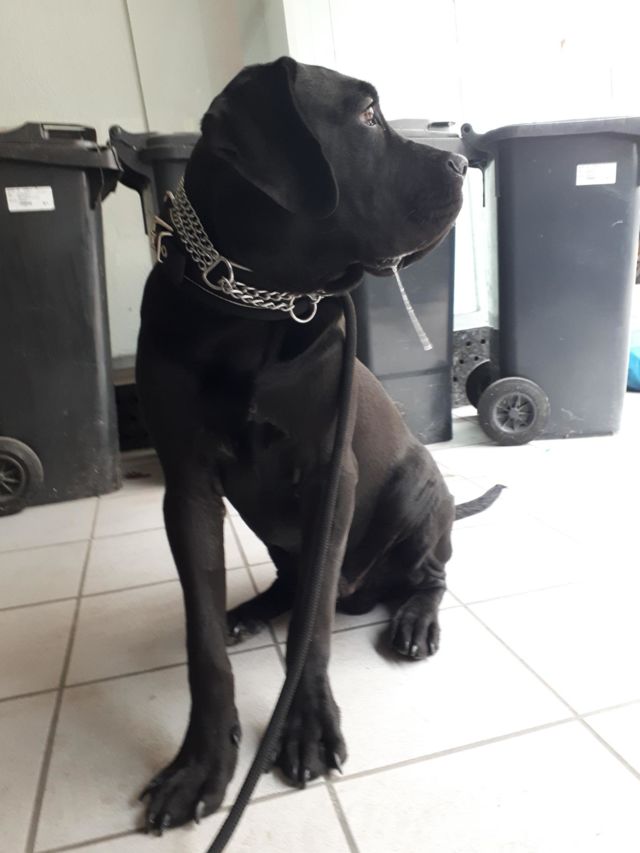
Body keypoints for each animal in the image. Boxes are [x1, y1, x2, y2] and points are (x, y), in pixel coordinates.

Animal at [136, 56, 499, 833]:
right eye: (365, 115)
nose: (460, 160)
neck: (249, 307)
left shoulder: (333, 476)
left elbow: (313, 631)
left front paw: (301, 727)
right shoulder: (188, 486)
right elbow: (201, 638)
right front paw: (201, 761)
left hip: (417, 492)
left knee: (428, 575)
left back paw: (413, 619)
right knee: (293, 582)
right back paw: (251, 611)